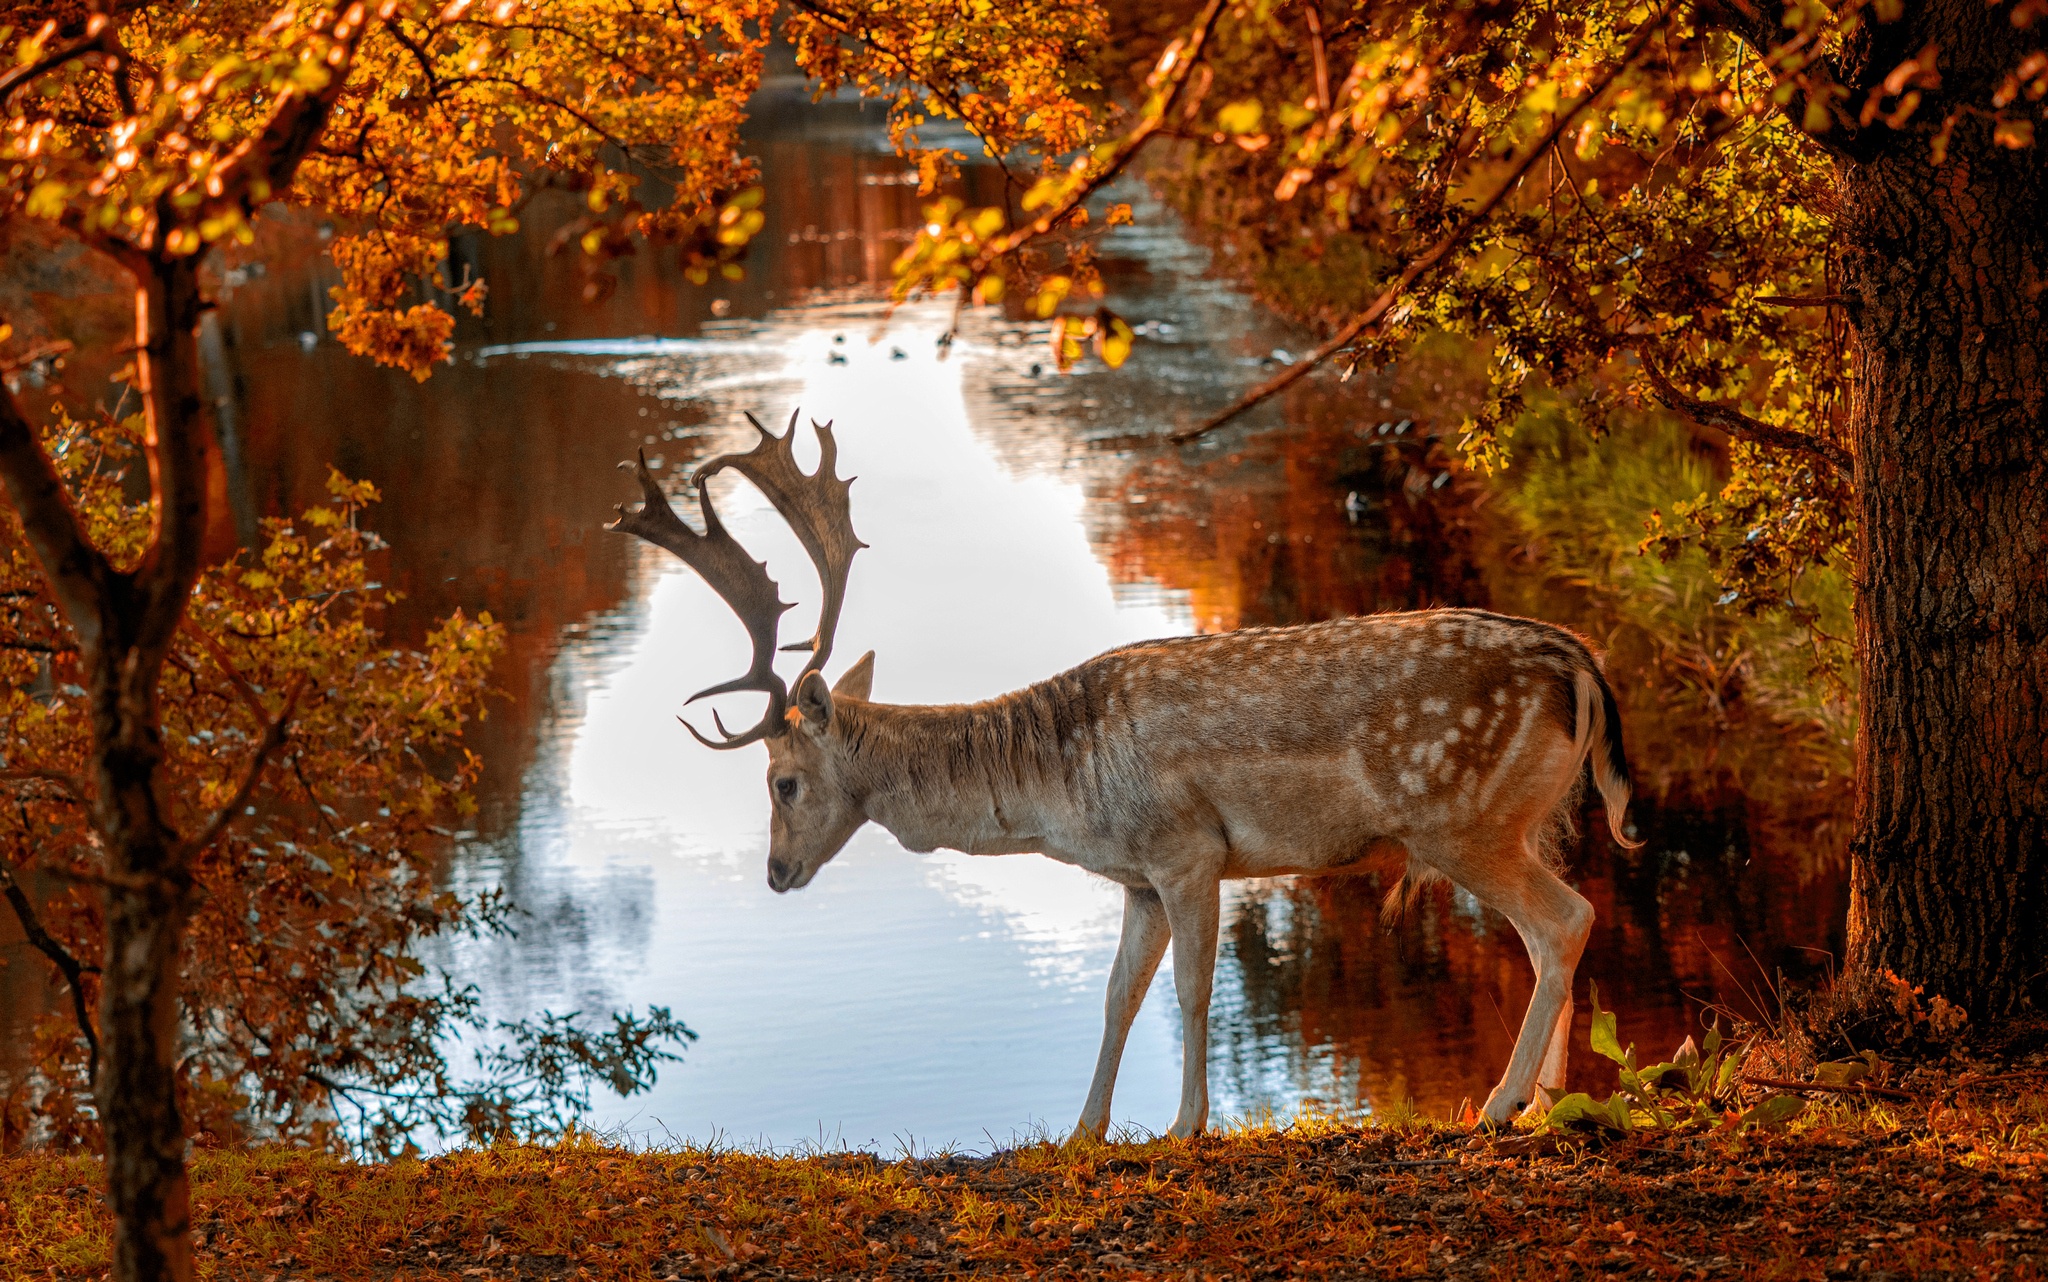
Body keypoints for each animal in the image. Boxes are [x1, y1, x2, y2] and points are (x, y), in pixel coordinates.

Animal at [610, 409, 1646, 1130]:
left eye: (781, 781)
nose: (777, 873)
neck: (1066, 798)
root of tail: (1582, 665)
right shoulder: (1138, 880)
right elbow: (1116, 998)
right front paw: (1084, 1132)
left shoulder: (1188, 851)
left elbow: (1190, 991)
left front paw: (1185, 1125)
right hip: (1528, 816)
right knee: (1560, 924)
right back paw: (1548, 1104)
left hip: (1461, 815)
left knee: (1563, 921)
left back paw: (1502, 1103)